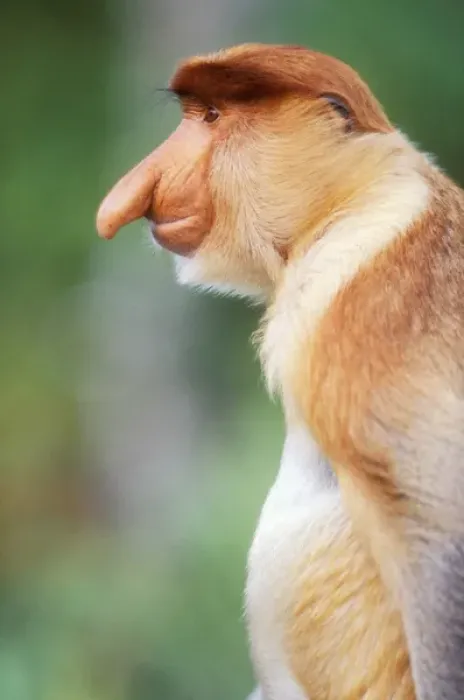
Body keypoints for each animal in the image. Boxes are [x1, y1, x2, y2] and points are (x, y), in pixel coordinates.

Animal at [96, 43, 464, 700]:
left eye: (213, 116)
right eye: (195, 114)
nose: (138, 188)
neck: (357, 197)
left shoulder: (361, 294)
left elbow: (439, 508)